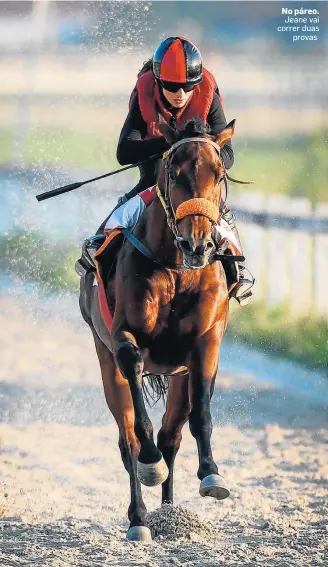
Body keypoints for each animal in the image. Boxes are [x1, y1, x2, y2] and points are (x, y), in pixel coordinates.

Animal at [79, 117, 236, 544]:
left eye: (219, 173)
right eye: (174, 173)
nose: (197, 244)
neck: (177, 269)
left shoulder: (206, 343)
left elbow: (201, 411)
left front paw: (211, 473)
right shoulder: (122, 338)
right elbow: (138, 421)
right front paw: (150, 464)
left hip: (178, 376)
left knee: (172, 437)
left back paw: (169, 513)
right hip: (104, 360)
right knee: (128, 440)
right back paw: (140, 518)